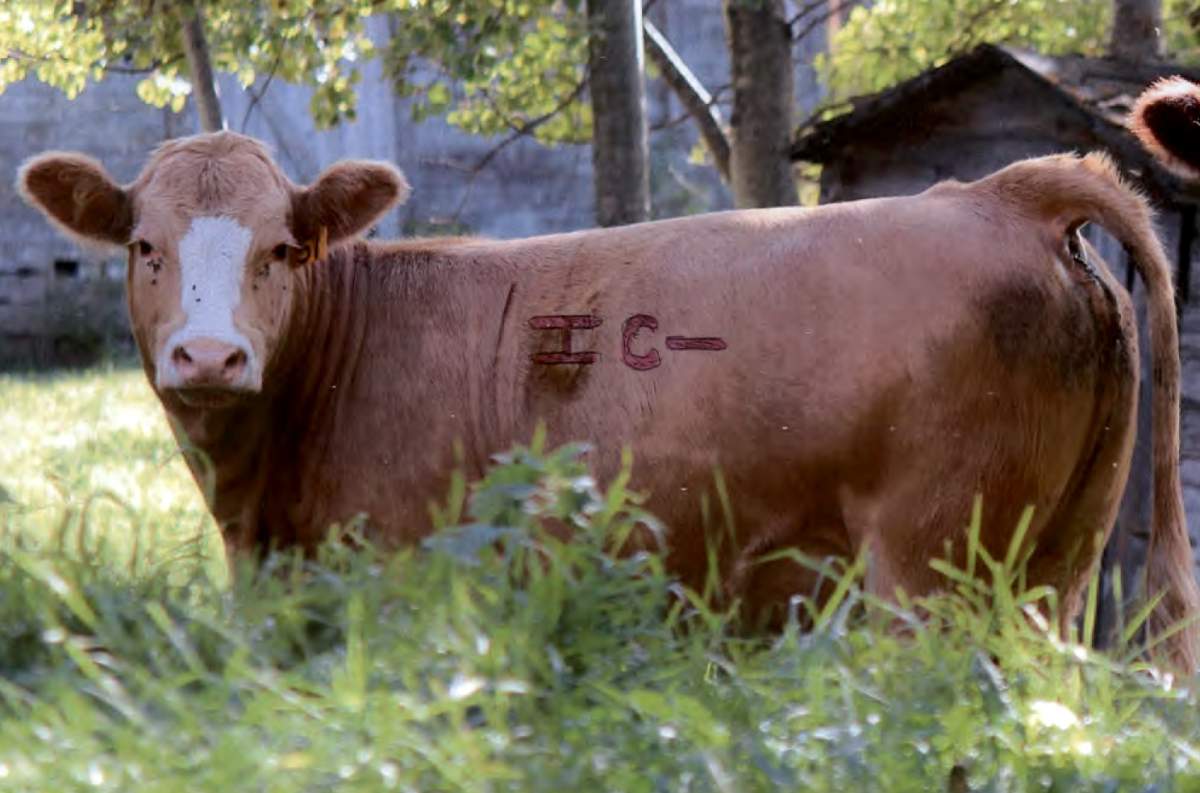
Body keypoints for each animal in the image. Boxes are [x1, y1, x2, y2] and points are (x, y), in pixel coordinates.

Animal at [17, 132, 1200, 670]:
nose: (209, 356)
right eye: (144, 245)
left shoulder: (403, 591)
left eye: (279, 249)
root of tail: (1000, 191)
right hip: (1057, 567)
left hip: (930, 576)